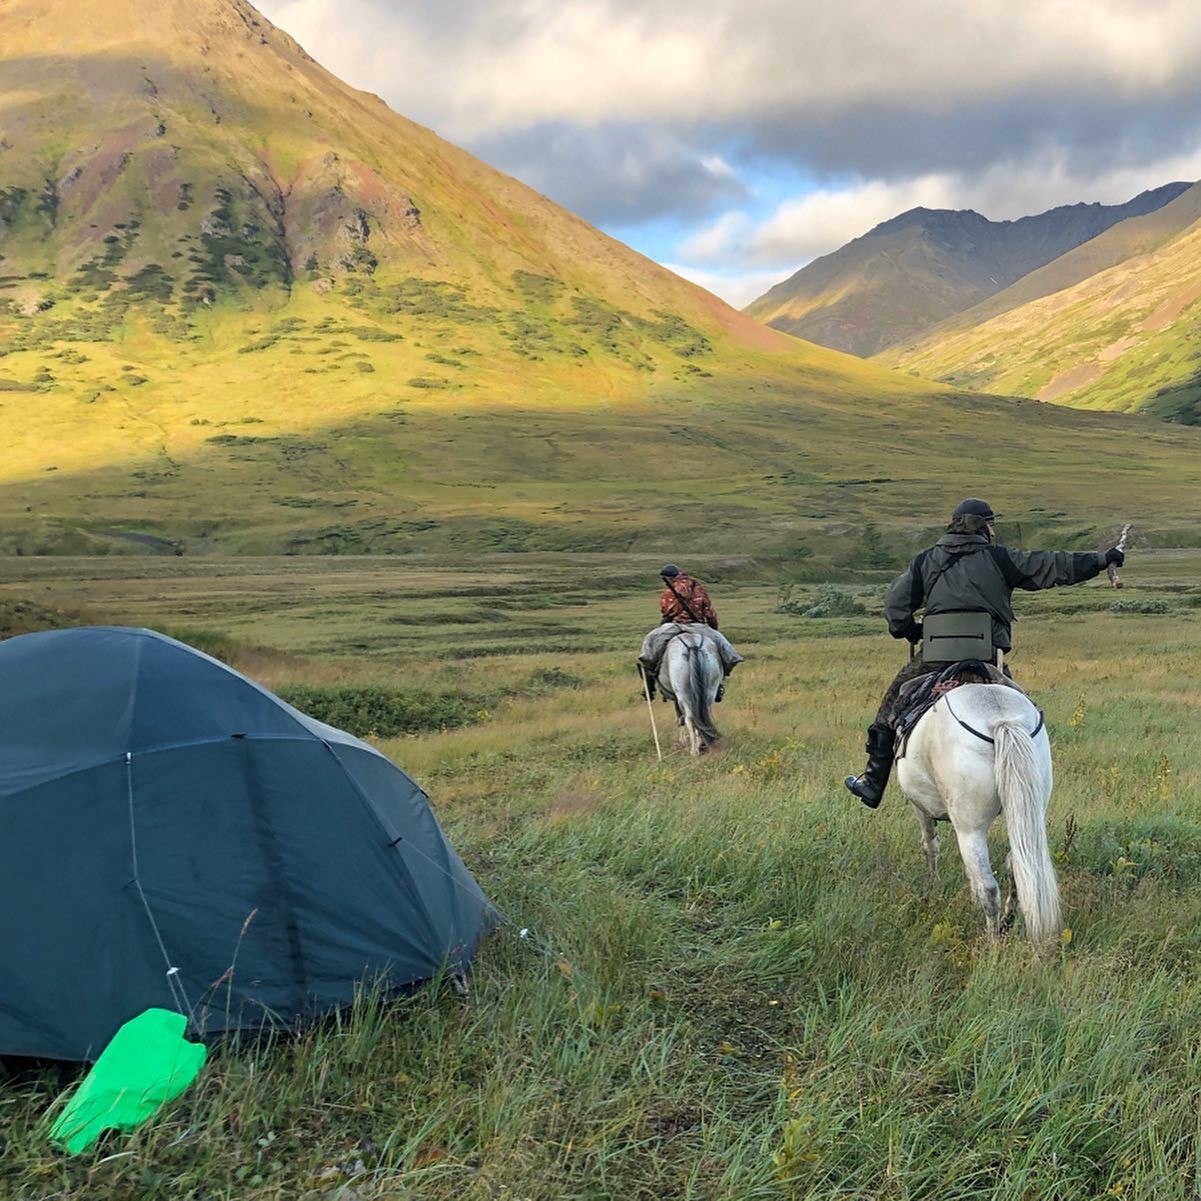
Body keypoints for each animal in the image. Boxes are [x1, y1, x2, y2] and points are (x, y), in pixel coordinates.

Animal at [898, 686, 1056, 946]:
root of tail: (1002, 720)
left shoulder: (920, 806)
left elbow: (930, 845)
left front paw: (934, 885)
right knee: (1016, 868)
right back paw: (1006, 922)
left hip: (970, 830)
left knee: (989, 888)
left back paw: (992, 943)